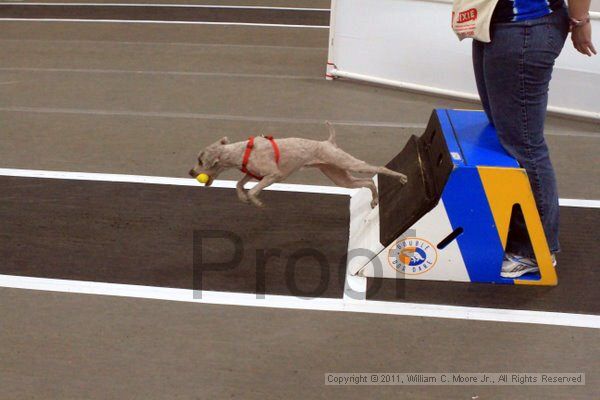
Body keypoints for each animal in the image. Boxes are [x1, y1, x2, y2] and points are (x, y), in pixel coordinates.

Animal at [191, 122, 408, 208]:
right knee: (367, 182)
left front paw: (256, 201)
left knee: (378, 169)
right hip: (339, 176)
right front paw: (243, 198)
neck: (241, 151)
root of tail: (328, 142)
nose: (191, 171)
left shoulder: (273, 175)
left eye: (200, 160)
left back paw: (402, 178)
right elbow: (239, 184)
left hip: (348, 163)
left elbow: (253, 190)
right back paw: (374, 200)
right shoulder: (253, 175)